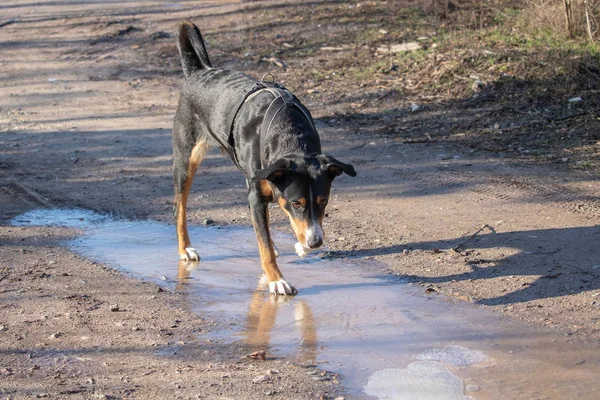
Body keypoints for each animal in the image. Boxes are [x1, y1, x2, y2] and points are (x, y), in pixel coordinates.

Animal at [171, 20, 354, 296]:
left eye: (323, 201)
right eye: (297, 203)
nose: (316, 242)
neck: (288, 133)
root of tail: (198, 72)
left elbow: (276, 230)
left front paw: (299, 245)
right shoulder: (257, 196)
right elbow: (265, 246)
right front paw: (277, 279)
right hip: (186, 160)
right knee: (180, 208)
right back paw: (185, 248)